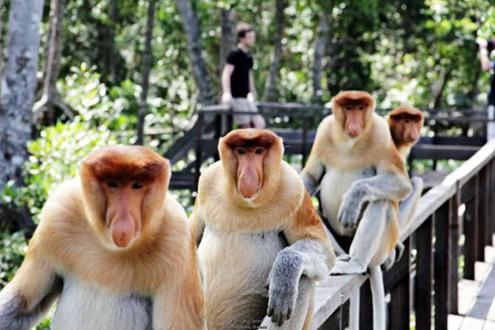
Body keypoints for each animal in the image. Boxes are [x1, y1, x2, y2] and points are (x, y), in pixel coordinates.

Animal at [0, 146, 205, 330]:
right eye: (112, 184)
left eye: (137, 185)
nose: (123, 221)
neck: (111, 246)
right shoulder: (58, 216)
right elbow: (22, 303)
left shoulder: (177, 236)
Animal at [192, 129, 336, 330]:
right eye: (242, 151)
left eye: (259, 151)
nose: (248, 175)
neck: (247, 204)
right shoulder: (207, 181)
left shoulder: (295, 188)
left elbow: (321, 246)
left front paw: (284, 276)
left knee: (304, 279)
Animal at [300, 90, 412, 330]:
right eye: (348, 108)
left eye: (360, 108)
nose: (354, 123)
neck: (350, 142)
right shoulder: (324, 130)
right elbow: (311, 178)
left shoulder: (381, 132)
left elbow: (401, 183)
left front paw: (352, 198)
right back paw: (337, 258)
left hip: (382, 247)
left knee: (380, 201)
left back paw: (355, 262)